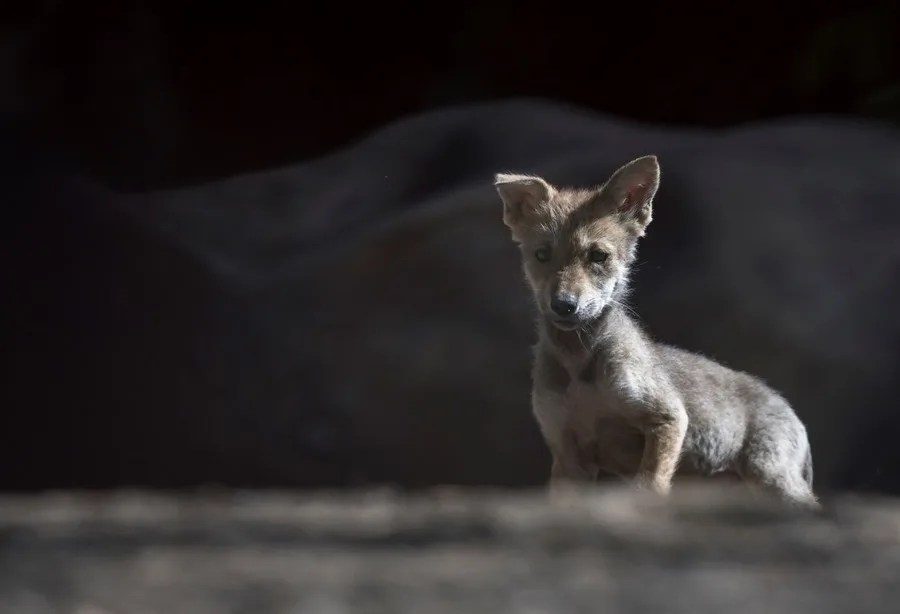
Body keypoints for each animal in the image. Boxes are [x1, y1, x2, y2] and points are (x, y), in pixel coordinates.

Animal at [495, 155, 819, 509]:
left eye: (598, 256)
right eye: (541, 254)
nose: (564, 305)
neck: (579, 366)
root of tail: (793, 413)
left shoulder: (667, 417)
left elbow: (648, 485)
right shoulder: (568, 454)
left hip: (770, 475)